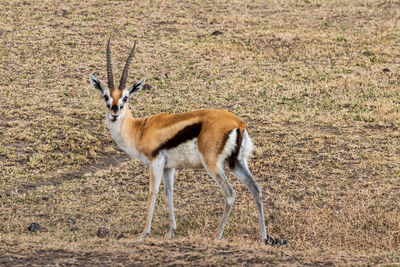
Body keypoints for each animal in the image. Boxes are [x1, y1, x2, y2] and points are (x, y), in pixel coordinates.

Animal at [89, 38, 286, 246]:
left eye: (125, 98)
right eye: (106, 96)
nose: (114, 112)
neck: (140, 129)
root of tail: (238, 123)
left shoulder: (155, 162)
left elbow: (153, 192)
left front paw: (144, 233)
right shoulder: (169, 167)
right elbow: (169, 193)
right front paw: (170, 232)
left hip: (213, 165)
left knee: (230, 193)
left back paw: (218, 235)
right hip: (237, 163)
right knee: (256, 189)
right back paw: (263, 236)